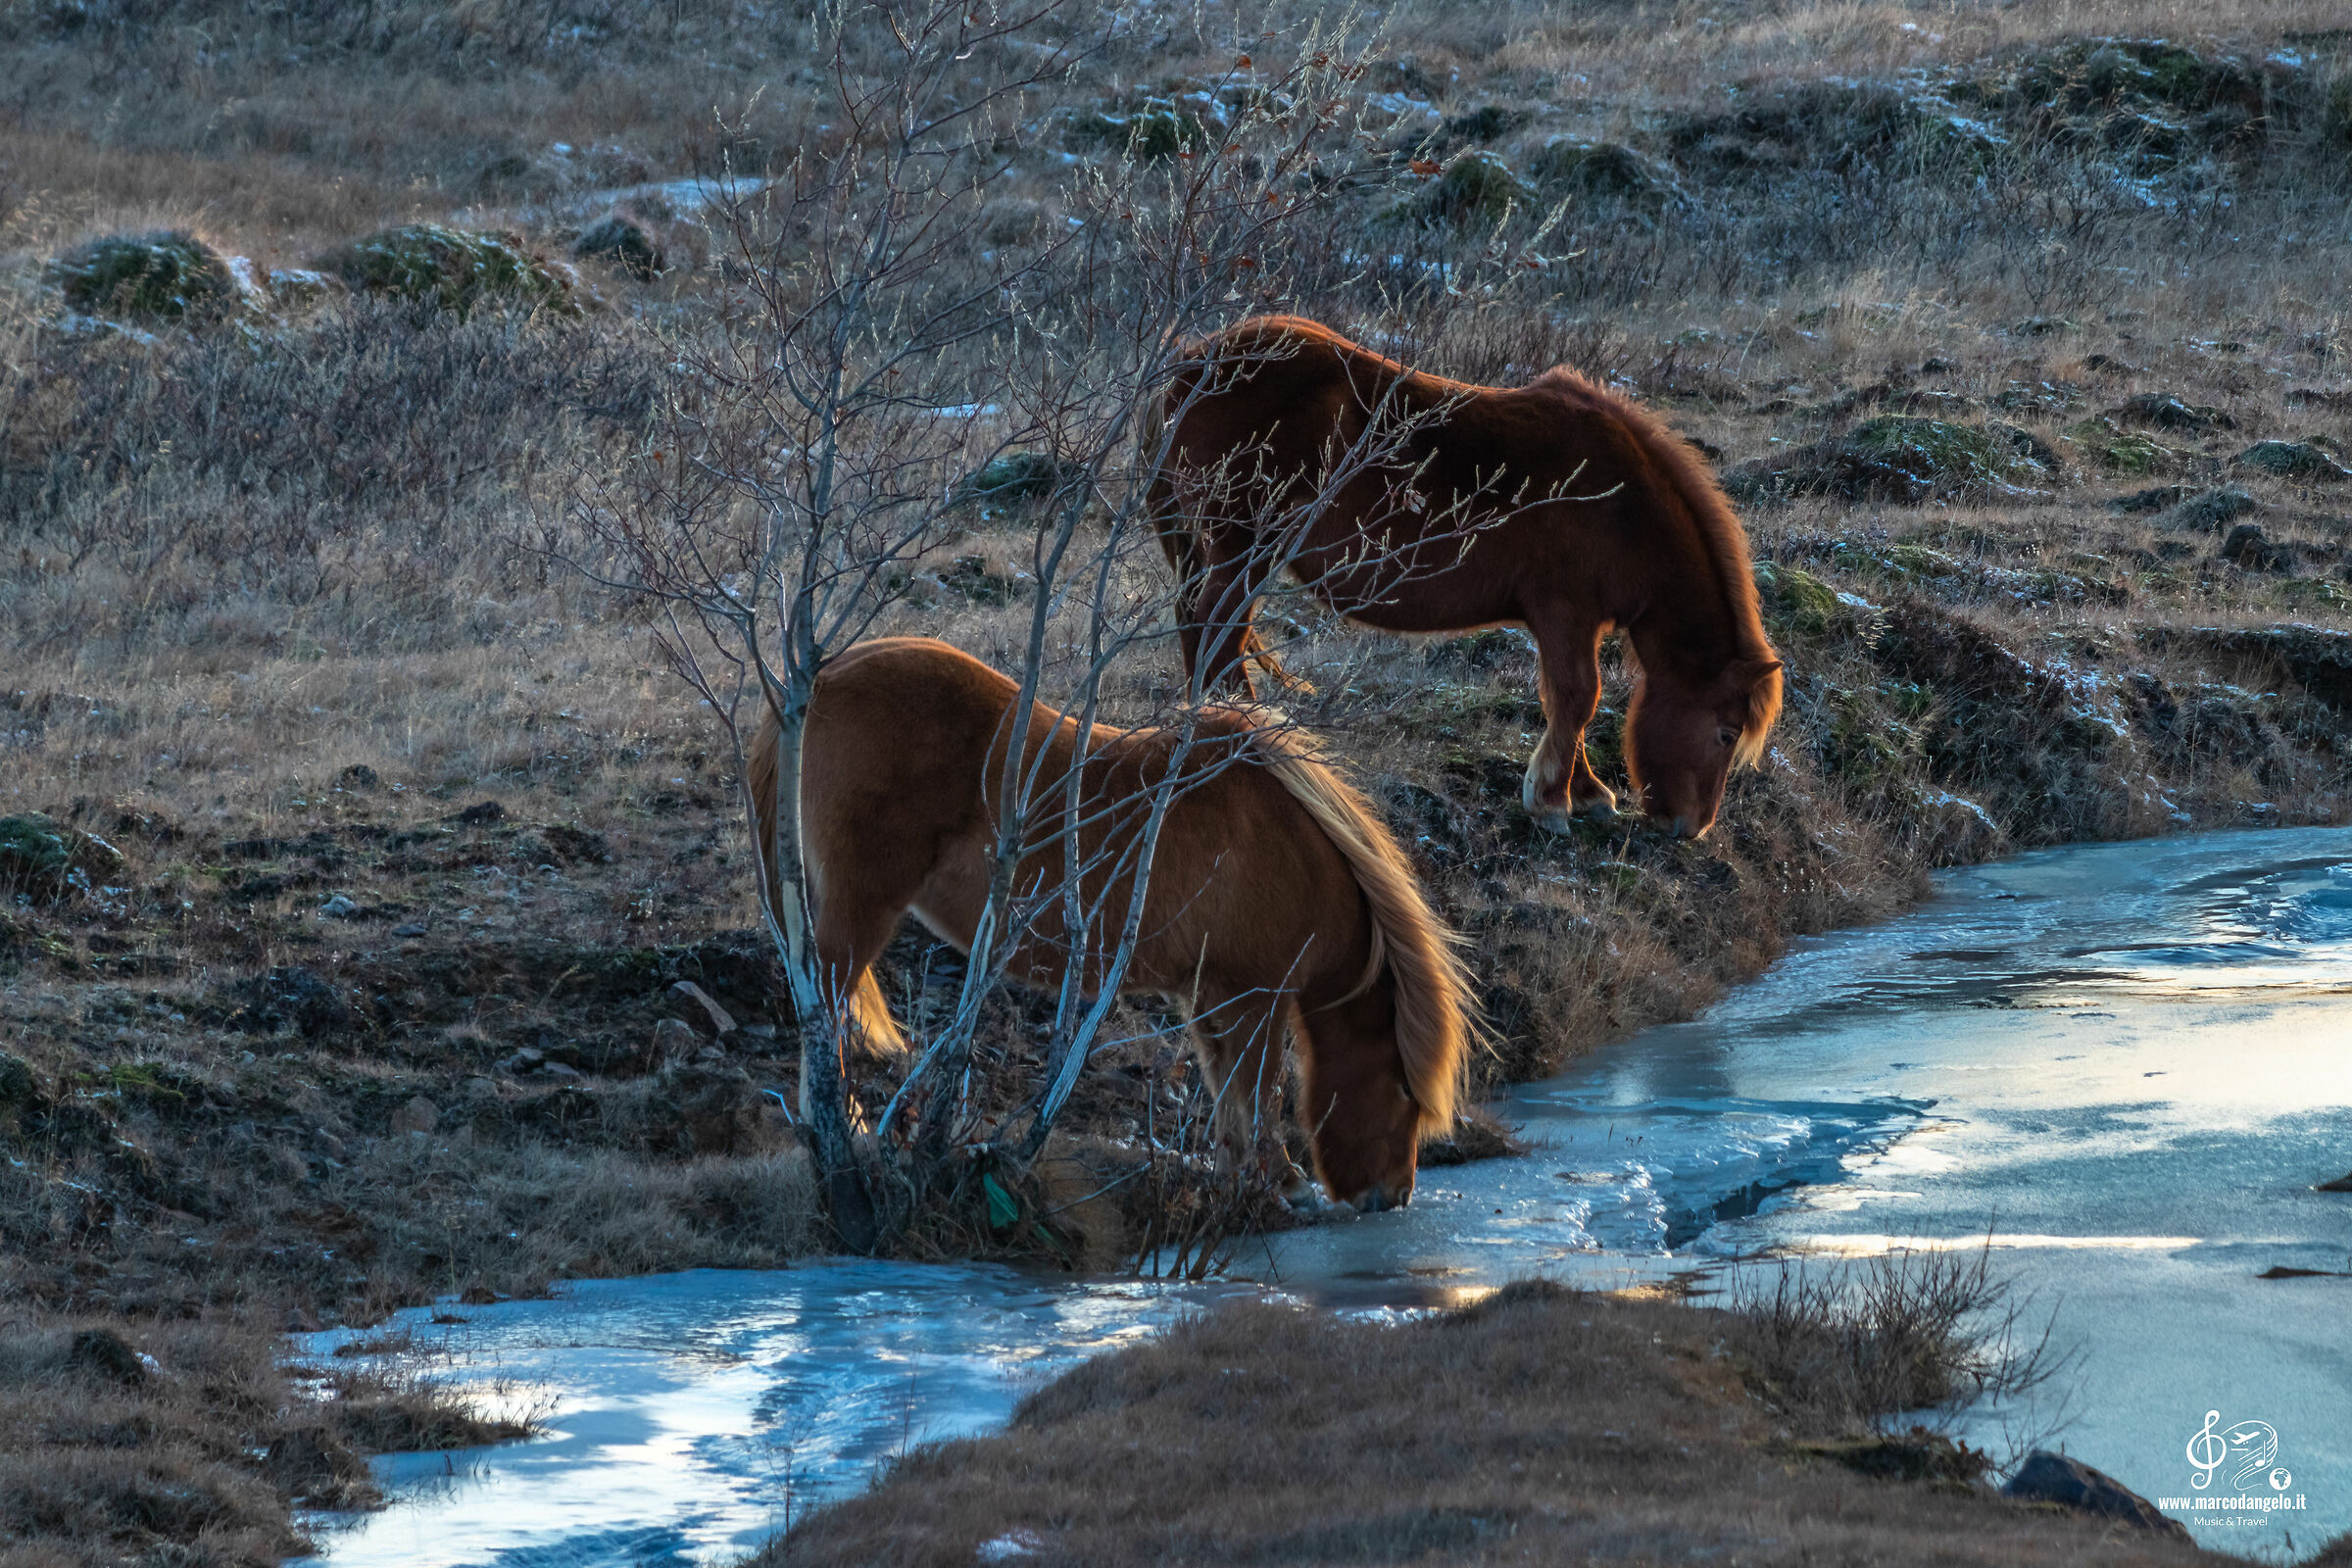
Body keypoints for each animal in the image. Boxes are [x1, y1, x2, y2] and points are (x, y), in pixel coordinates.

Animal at [746, 636, 1474, 1212]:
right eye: (1403, 1091)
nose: (1393, 1196)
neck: (1290, 844)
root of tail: (821, 680)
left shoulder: (1208, 994)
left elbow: (1225, 1088)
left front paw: (1236, 1177)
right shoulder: (1255, 996)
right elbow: (1260, 1086)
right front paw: (1285, 1183)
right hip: (857, 915)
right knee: (824, 1018)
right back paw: (846, 1133)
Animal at [1150, 315, 1783, 839]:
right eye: (1727, 734)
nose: (1693, 828)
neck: (1618, 505)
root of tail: (1195, 361)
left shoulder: (1570, 624)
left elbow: (1567, 700)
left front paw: (1585, 792)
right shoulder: (1565, 613)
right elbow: (1579, 697)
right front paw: (1554, 802)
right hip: (1243, 547)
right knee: (1218, 630)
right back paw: (1243, 727)